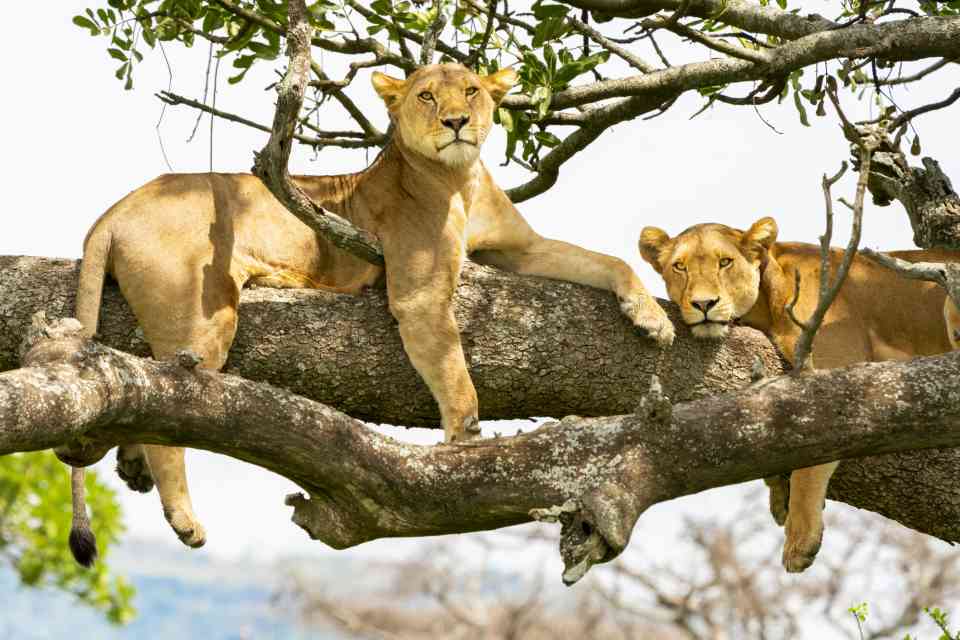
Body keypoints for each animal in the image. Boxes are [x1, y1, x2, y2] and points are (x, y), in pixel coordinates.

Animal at [63, 63, 674, 565]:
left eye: (471, 92)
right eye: (426, 96)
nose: (456, 122)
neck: (460, 177)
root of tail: (115, 209)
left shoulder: (523, 248)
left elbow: (608, 260)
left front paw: (653, 319)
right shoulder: (419, 294)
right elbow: (456, 377)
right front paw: (465, 444)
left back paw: (133, 467)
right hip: (203, 311)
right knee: (170, 411)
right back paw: (184, 518)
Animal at [638, 217, 957, 572]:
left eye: (725, 262)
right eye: (679, 266)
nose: (703, 304)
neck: (768, 301)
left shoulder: (835, 371)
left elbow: (809, 463)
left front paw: (799, 538)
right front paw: (779, 495)